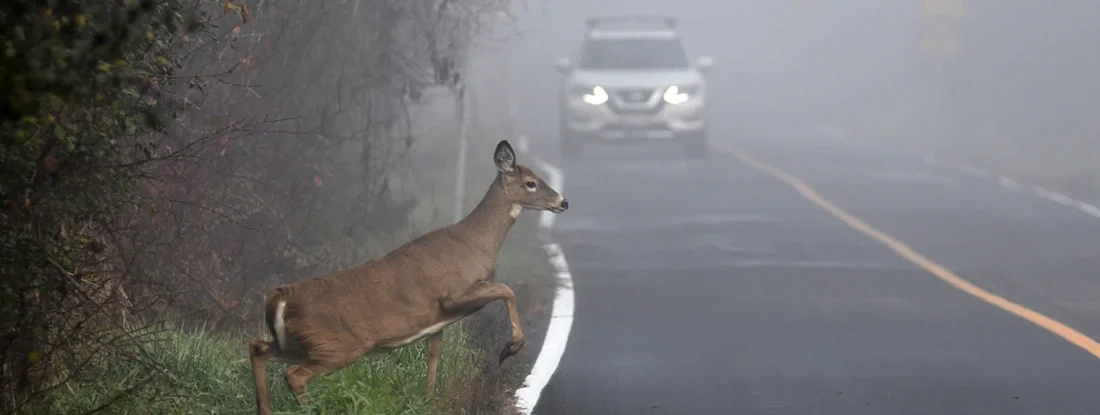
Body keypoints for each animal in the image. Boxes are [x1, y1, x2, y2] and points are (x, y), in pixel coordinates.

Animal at [248, 139, 568, 415]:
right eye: (531, 182)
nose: (563, 202)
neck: (479, 242)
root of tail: (281, 298)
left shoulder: (437, 323)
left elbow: (434, 359)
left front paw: (430, 403)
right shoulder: (452, 294)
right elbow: (507, 289)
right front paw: (510, 348)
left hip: (301, 344)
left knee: (259, 349)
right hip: (338, 346)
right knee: (294, 375)